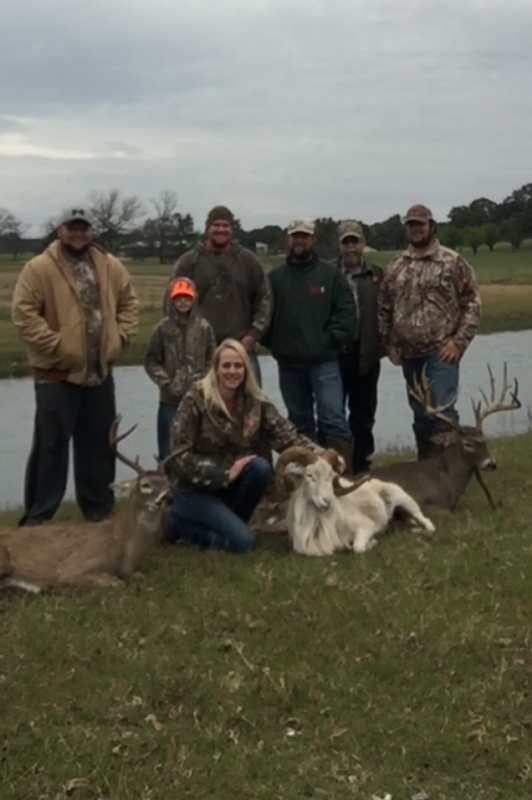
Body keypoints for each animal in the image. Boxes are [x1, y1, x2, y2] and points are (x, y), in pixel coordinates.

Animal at [0, 417, 170, 593]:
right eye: (145, 484)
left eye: (168, 484)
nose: (168, 497)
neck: (123, 545)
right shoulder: (73, 569)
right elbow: (118, 583)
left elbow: (139, 577)